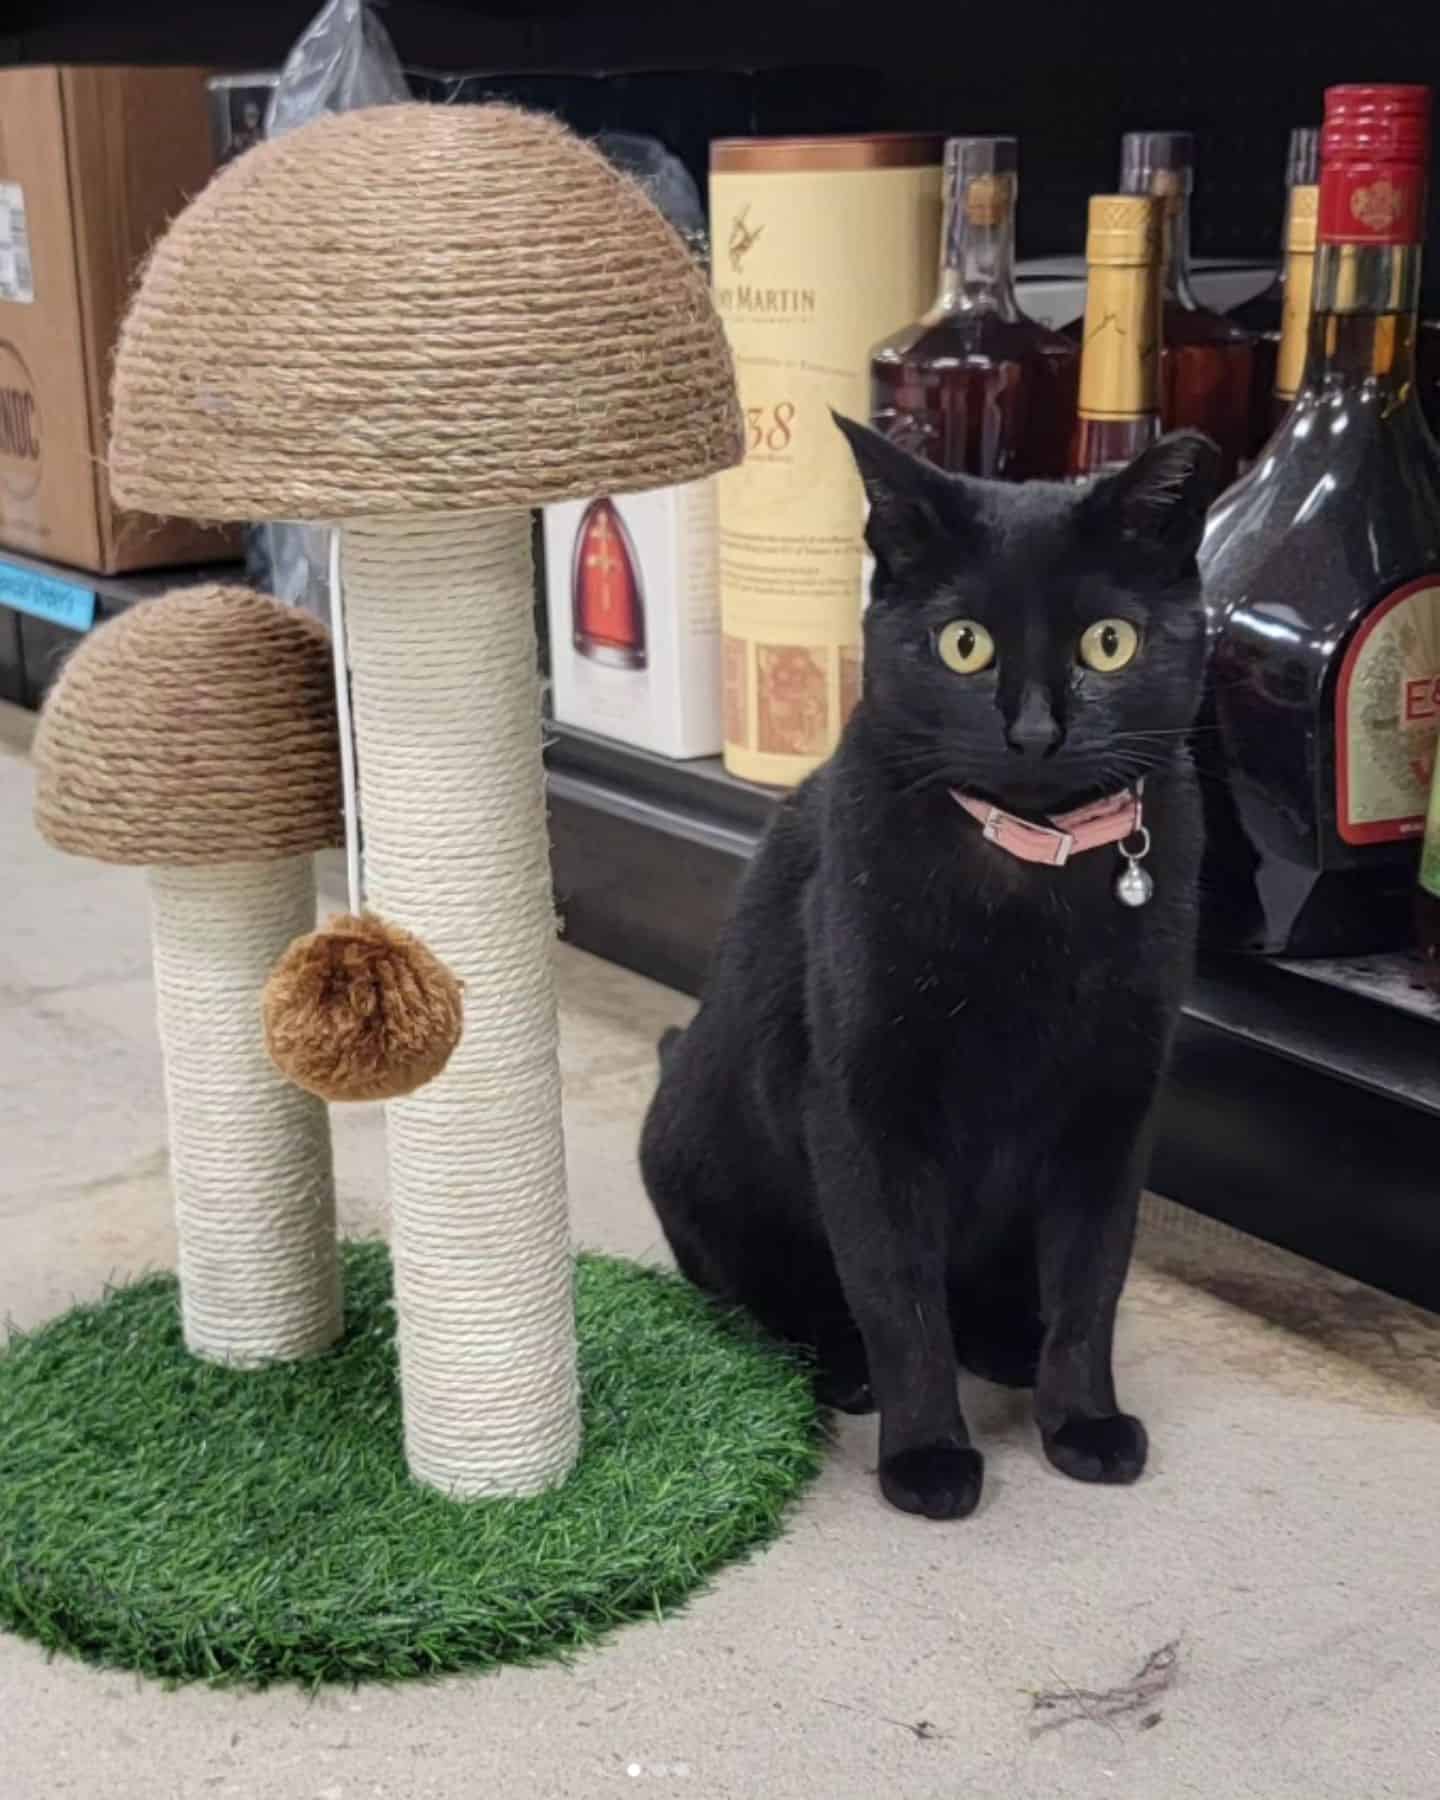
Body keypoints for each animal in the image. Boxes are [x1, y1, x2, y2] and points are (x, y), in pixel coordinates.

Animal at [648, 421, 1224, 1519]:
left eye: (1109, 643)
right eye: (965, 645)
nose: (1035, 730)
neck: (1033, 876)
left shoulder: (1115, 1107)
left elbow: (1092, 1284)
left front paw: (1082, 1423)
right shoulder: (862, 1111)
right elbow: (896, 1296)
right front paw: (927, 1457)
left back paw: (1006, 1344)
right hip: (695, 1161)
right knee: (775, 1303)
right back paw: (843, 1369)